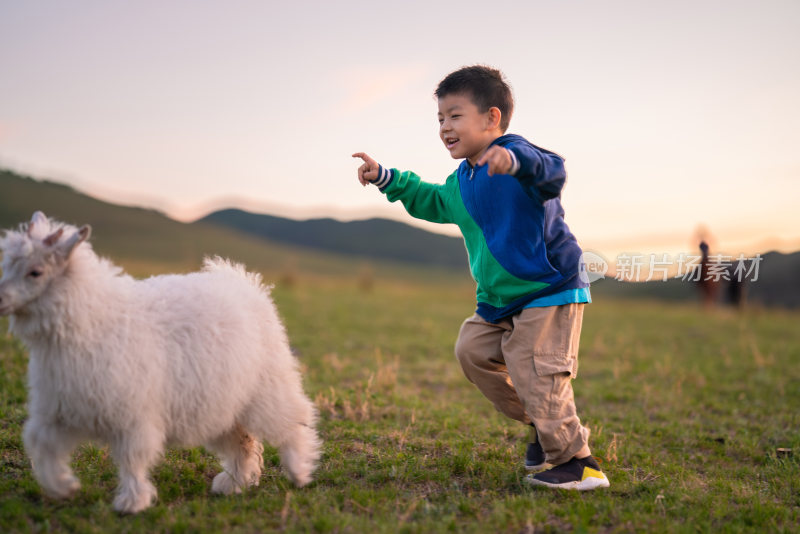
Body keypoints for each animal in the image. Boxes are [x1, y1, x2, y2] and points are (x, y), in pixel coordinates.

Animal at [0, 213, 318, 516]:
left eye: (35, 272)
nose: (0, 300)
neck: (91, 319)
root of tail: (244, 282)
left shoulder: (133, 417)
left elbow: (132, 460)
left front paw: (132, 502)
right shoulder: (58, 410)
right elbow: (41, 445)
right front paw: (63, 486)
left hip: (267, 388)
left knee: (293, 421)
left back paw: (300, 472)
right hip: (223, 406)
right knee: (243, 442)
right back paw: (234, 483)